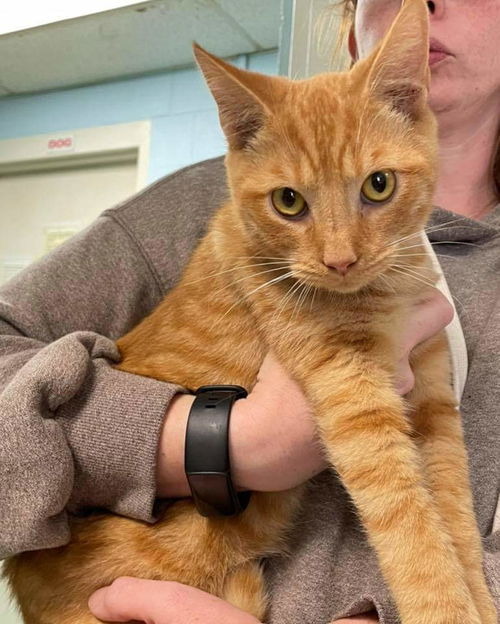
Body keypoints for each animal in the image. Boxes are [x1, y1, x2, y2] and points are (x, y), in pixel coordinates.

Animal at [3, 1, 496, 624]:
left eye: (379, 186)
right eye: (288, 201)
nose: (340, 260)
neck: (380, 293)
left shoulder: (433, 401)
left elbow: (455, 516)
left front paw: (477, 598)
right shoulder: (352, 394)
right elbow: (411, 525)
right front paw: (447, 606)